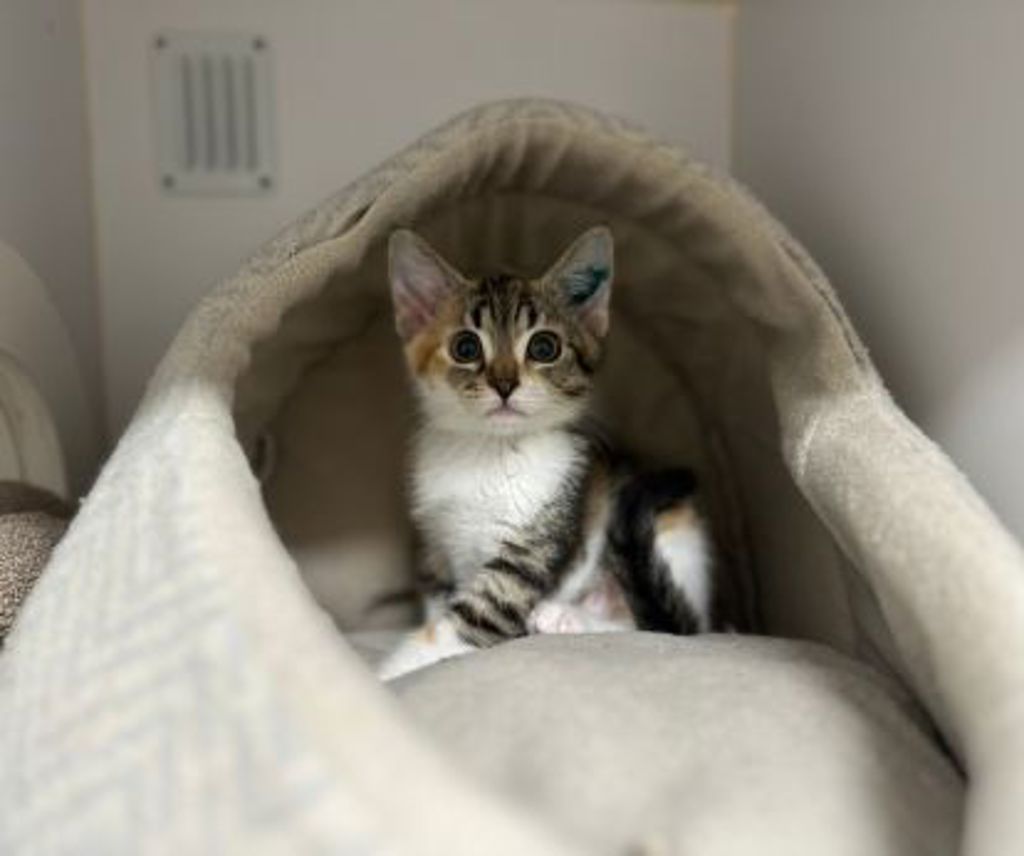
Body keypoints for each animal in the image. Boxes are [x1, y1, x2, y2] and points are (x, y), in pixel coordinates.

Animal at [377, 225, 714, 679]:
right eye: (466, 348)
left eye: (543, 348)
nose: (504, 384)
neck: (489, 452)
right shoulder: (436, 545)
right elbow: (437, 602)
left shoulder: (531, 550)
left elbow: (465, 622)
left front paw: (383, 675)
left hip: (674, 527)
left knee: (654, 628)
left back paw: (565, 616)